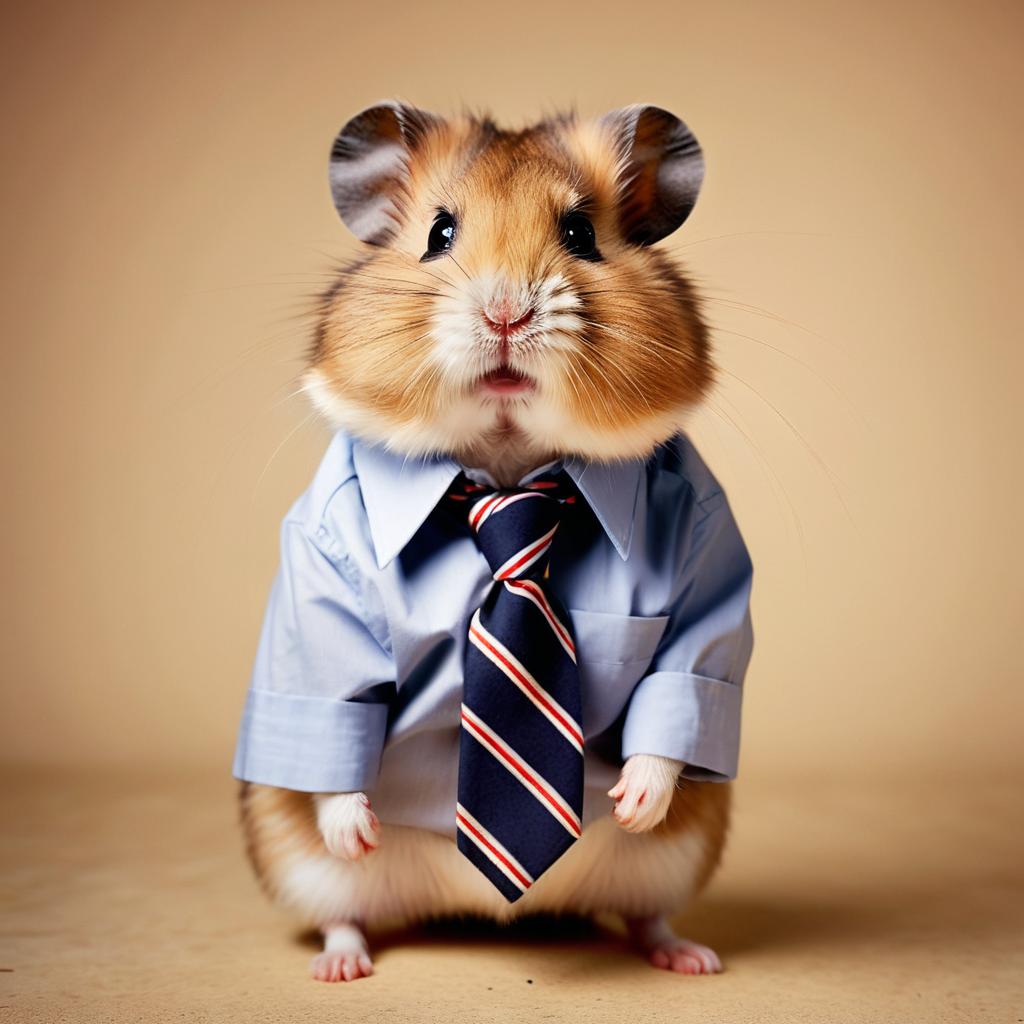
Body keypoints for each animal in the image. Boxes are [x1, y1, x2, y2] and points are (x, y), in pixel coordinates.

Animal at [239, 101, 737, 983]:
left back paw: (689, 956)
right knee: (340, 911)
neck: (506, 466)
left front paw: (632, 802)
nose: (506, 312)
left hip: (680, 858)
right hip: (298, 865)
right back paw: (342, 963)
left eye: (580, 232)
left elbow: (682, 677)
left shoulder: (705, 561)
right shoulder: (319, 581)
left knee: (648, 912)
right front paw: (357, 827)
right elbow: (332, 704)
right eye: (440, 232)